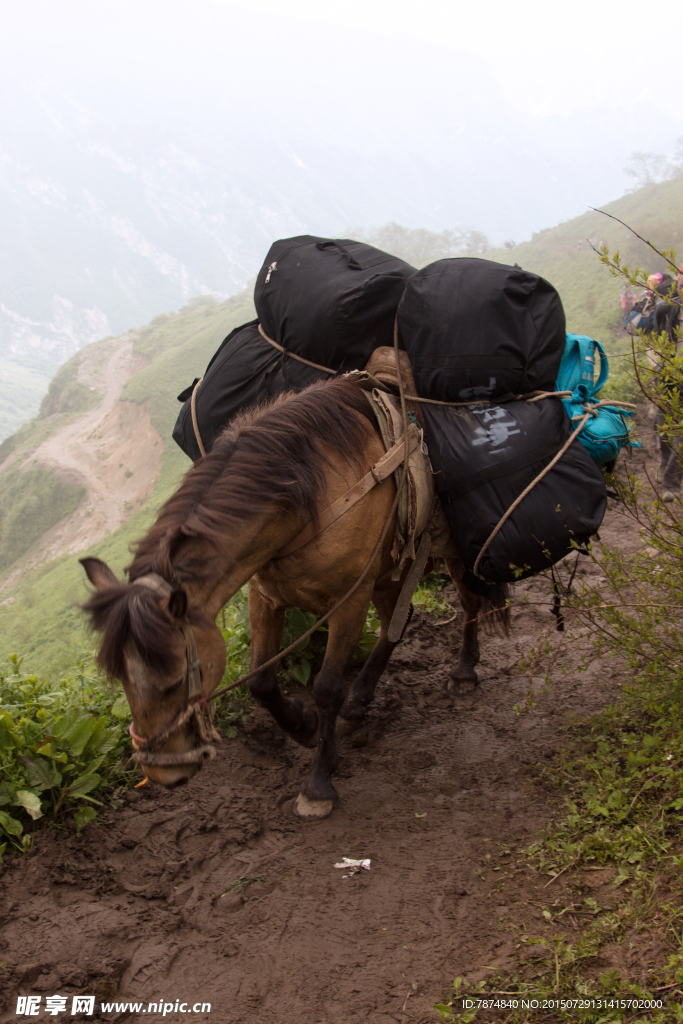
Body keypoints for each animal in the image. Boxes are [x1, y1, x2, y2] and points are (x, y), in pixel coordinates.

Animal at [81, 374, 507, 815]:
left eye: (176, 680)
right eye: (122, 680)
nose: (163, 773)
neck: (307, 497)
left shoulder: (350, 601)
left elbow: (327, 688)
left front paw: (318, 784)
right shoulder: (265, 598)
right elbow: (261, 682)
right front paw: (304, 727)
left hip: (451, 553)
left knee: (468, 603)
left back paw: (463, 672)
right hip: (393, 573)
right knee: (396, 624)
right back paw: (361, 699)